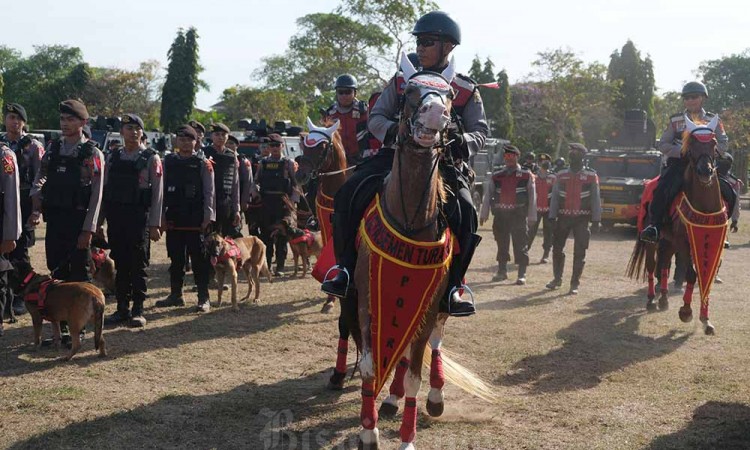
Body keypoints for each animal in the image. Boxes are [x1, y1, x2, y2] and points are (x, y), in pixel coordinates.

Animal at [346, 53, 494, 450]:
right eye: (410, 91)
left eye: (449, 96)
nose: (435, 115)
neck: (410, 219)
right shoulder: (365, 301)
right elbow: (370, 366)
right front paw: (368, 430)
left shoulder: (427, 305)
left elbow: (415, 373)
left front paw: (407, 437)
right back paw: (390, 400)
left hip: (442, 301)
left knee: (436, 343)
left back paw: (434, 396)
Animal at [628, 116, 728, 334]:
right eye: (692, 145)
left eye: (713, 143)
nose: (705, 171)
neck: (704, 208)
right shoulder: (684, 242)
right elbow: (691, 274)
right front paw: (686, 312)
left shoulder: (712, 242)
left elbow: (706, 278)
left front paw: (706, 319)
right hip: (654, 240)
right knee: (652, 266)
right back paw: (651, 300)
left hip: (669, 241)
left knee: (664, 264)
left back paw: (664, 299)